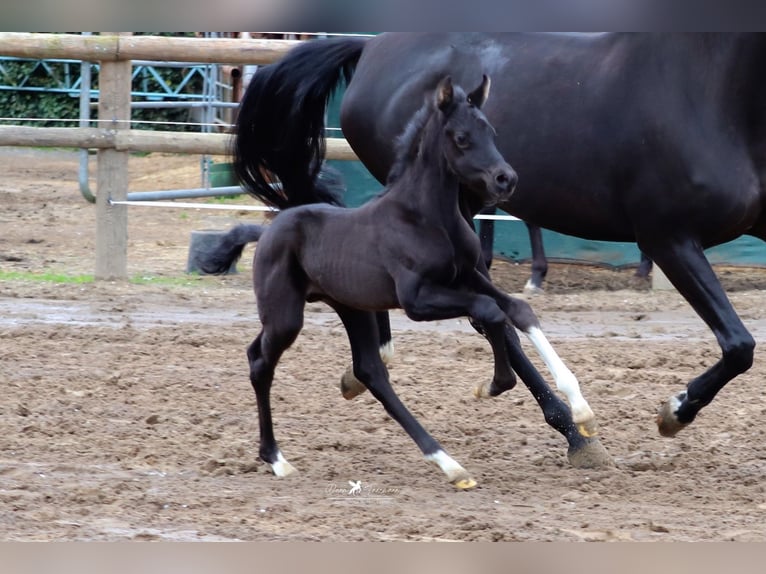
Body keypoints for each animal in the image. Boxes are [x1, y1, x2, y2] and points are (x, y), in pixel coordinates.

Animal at [234, 33, 766, 440]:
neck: (708, 92)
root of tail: (370, 48)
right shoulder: (668, 237)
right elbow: (739, 343)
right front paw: (674, 412)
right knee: (480, 309)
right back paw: (571, 430)